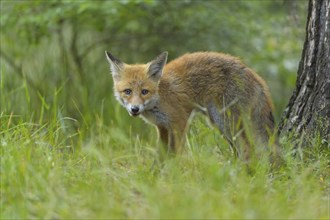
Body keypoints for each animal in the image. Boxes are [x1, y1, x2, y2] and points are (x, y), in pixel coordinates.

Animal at [105, 52, 278, 160]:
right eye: (127, 91)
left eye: (144, 92)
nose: (135, 109)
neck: (160, 96)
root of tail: (256, 76)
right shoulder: (163, 127)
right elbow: (161, 156)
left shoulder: (179, 122)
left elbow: (174, 155)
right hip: (222, 125)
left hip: (224, 121)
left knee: (248, 148)